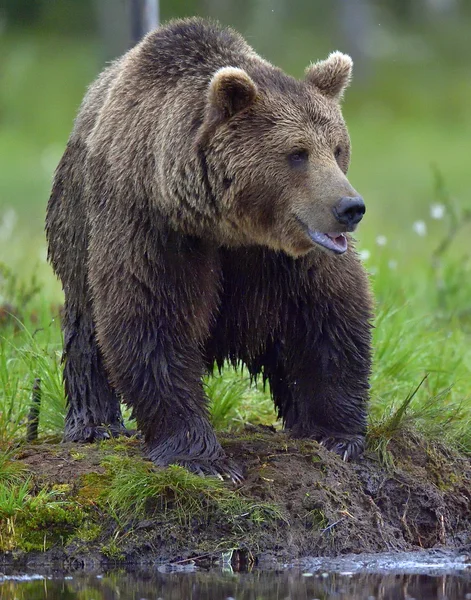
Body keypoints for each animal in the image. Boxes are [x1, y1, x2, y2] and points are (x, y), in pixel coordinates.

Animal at [47, 16, 372, 480]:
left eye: (338, 147)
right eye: (297, 153)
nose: (350, 207)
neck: (227, 225)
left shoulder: (287, 257)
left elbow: (327, 318)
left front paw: (337, 434)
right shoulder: (153, 226)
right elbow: (152, 318)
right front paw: (200, 456)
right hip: (76, 227)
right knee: (86, 332)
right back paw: (94, 424)